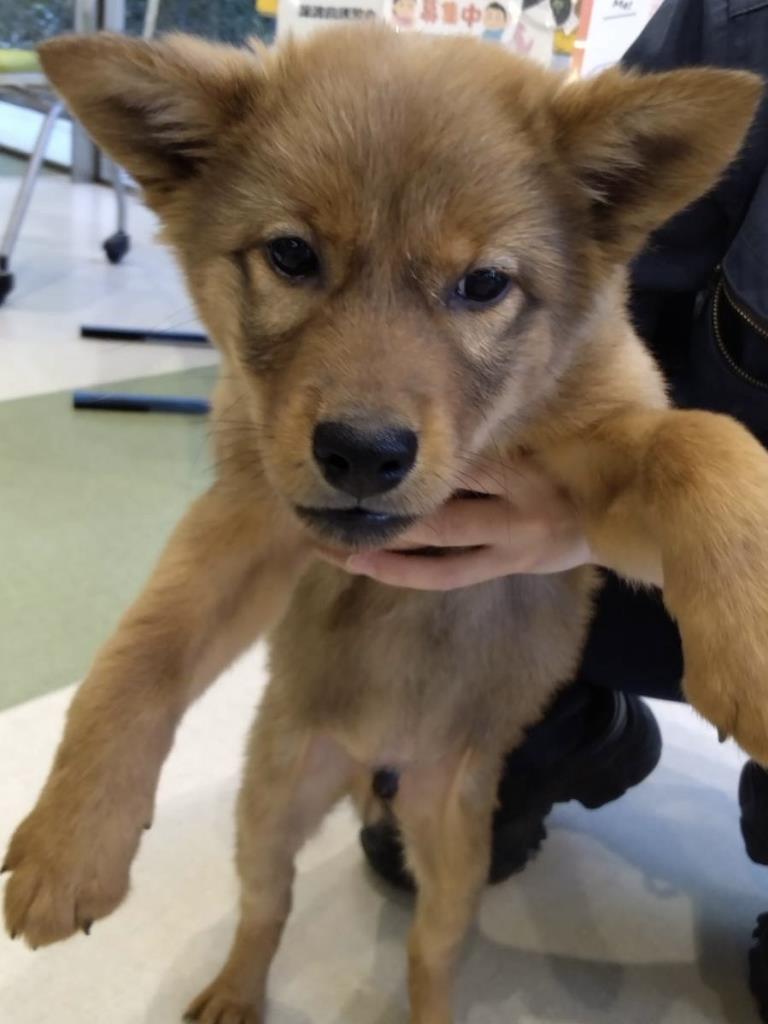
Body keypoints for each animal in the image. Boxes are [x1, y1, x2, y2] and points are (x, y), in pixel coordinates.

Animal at [4, 24, 768, 1024]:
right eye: (292, 256)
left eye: (484, 283)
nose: (363, 454)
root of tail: (383, 767)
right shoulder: (253, 516)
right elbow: (138, 654)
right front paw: (70, 844)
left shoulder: (600, 490)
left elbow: (700, 441)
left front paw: (753, 655)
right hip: (272, 801)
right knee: (266, 907)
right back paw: (233, 992)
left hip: (455, 852)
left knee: (429, 955)